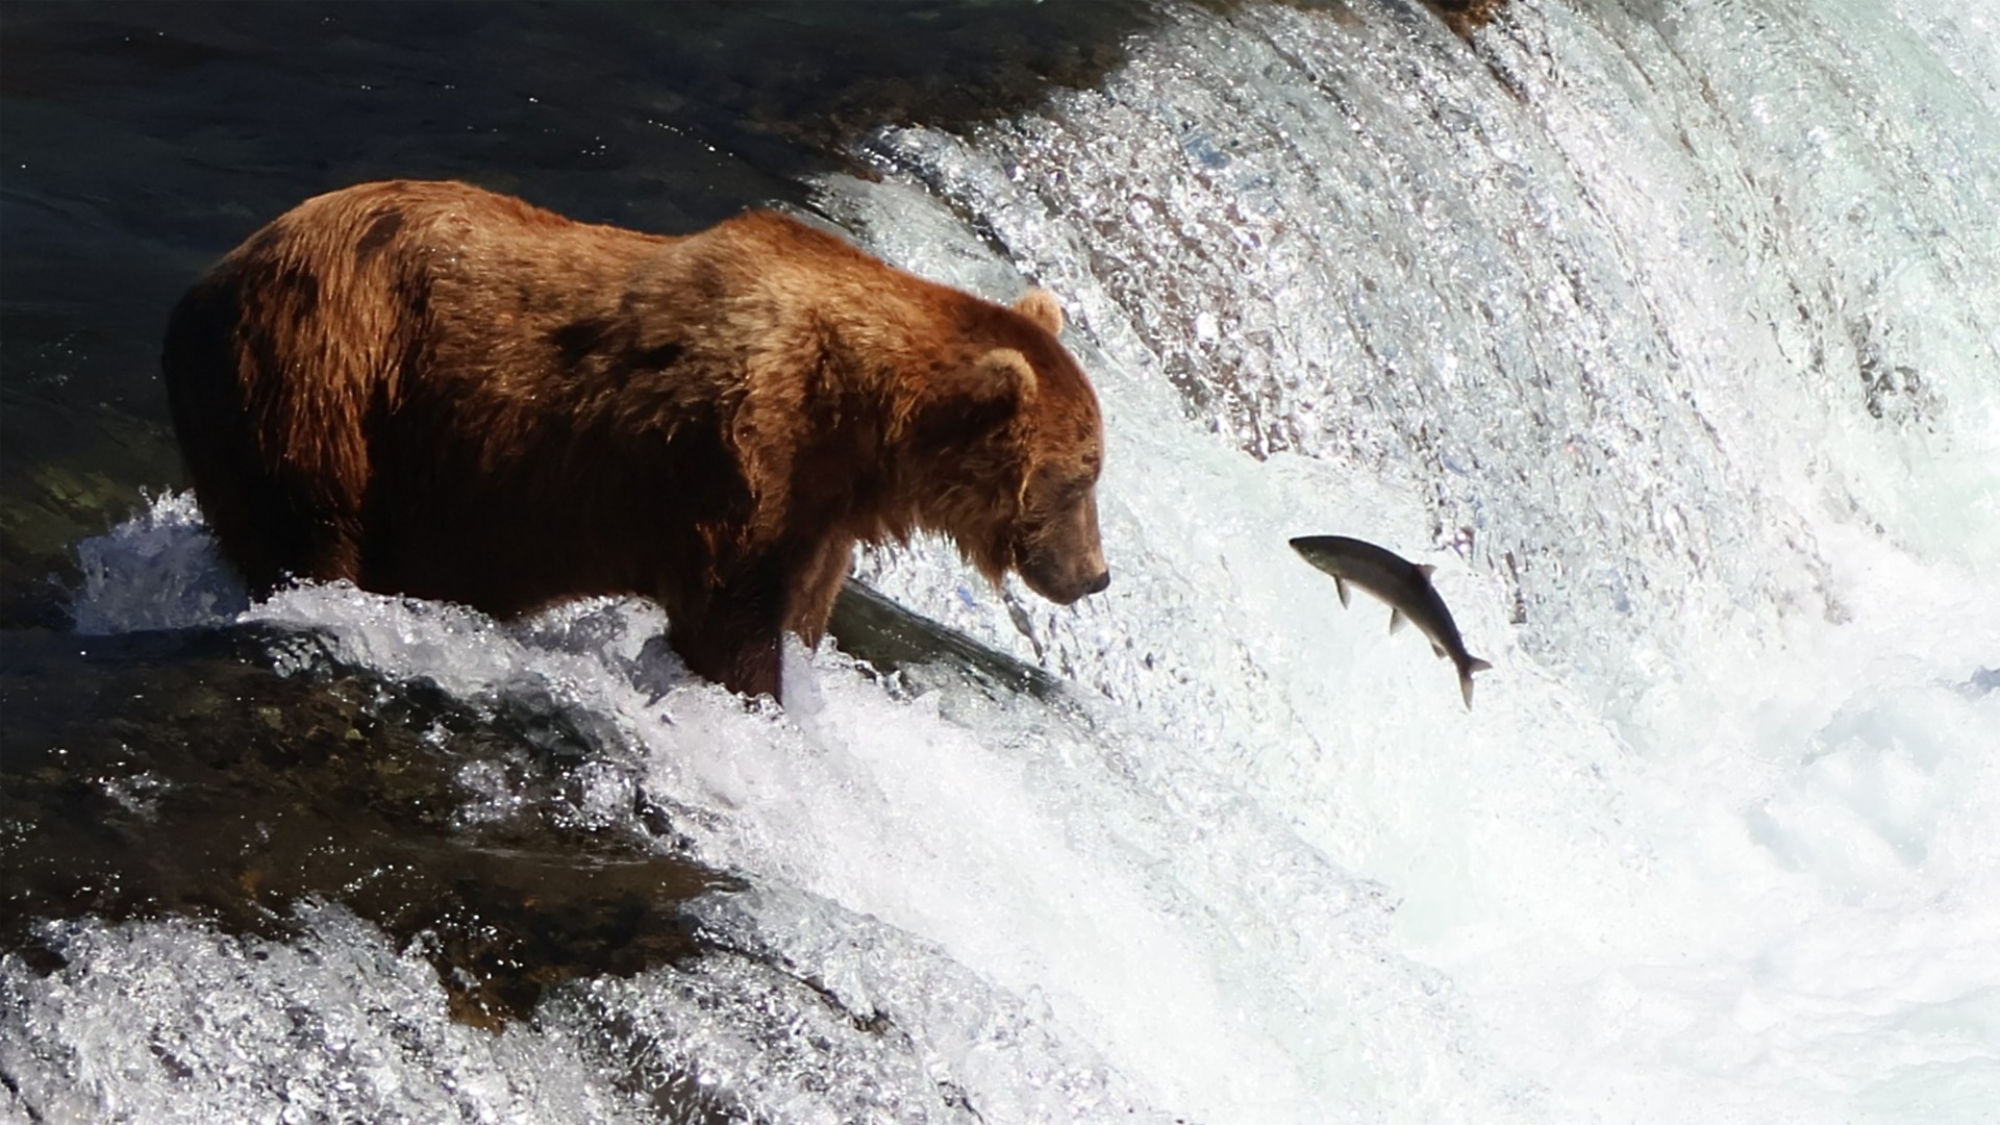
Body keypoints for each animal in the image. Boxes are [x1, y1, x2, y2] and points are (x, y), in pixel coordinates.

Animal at [162, 179, 1109, 702]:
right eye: (1079, 478)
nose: (1095, 575)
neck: (857, 419)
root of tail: (206, 281)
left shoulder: (817, 512)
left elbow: (799, 609)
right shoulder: (735, 460)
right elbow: (728, 624)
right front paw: (752, 696)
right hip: (325, 381)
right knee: (312, 529)